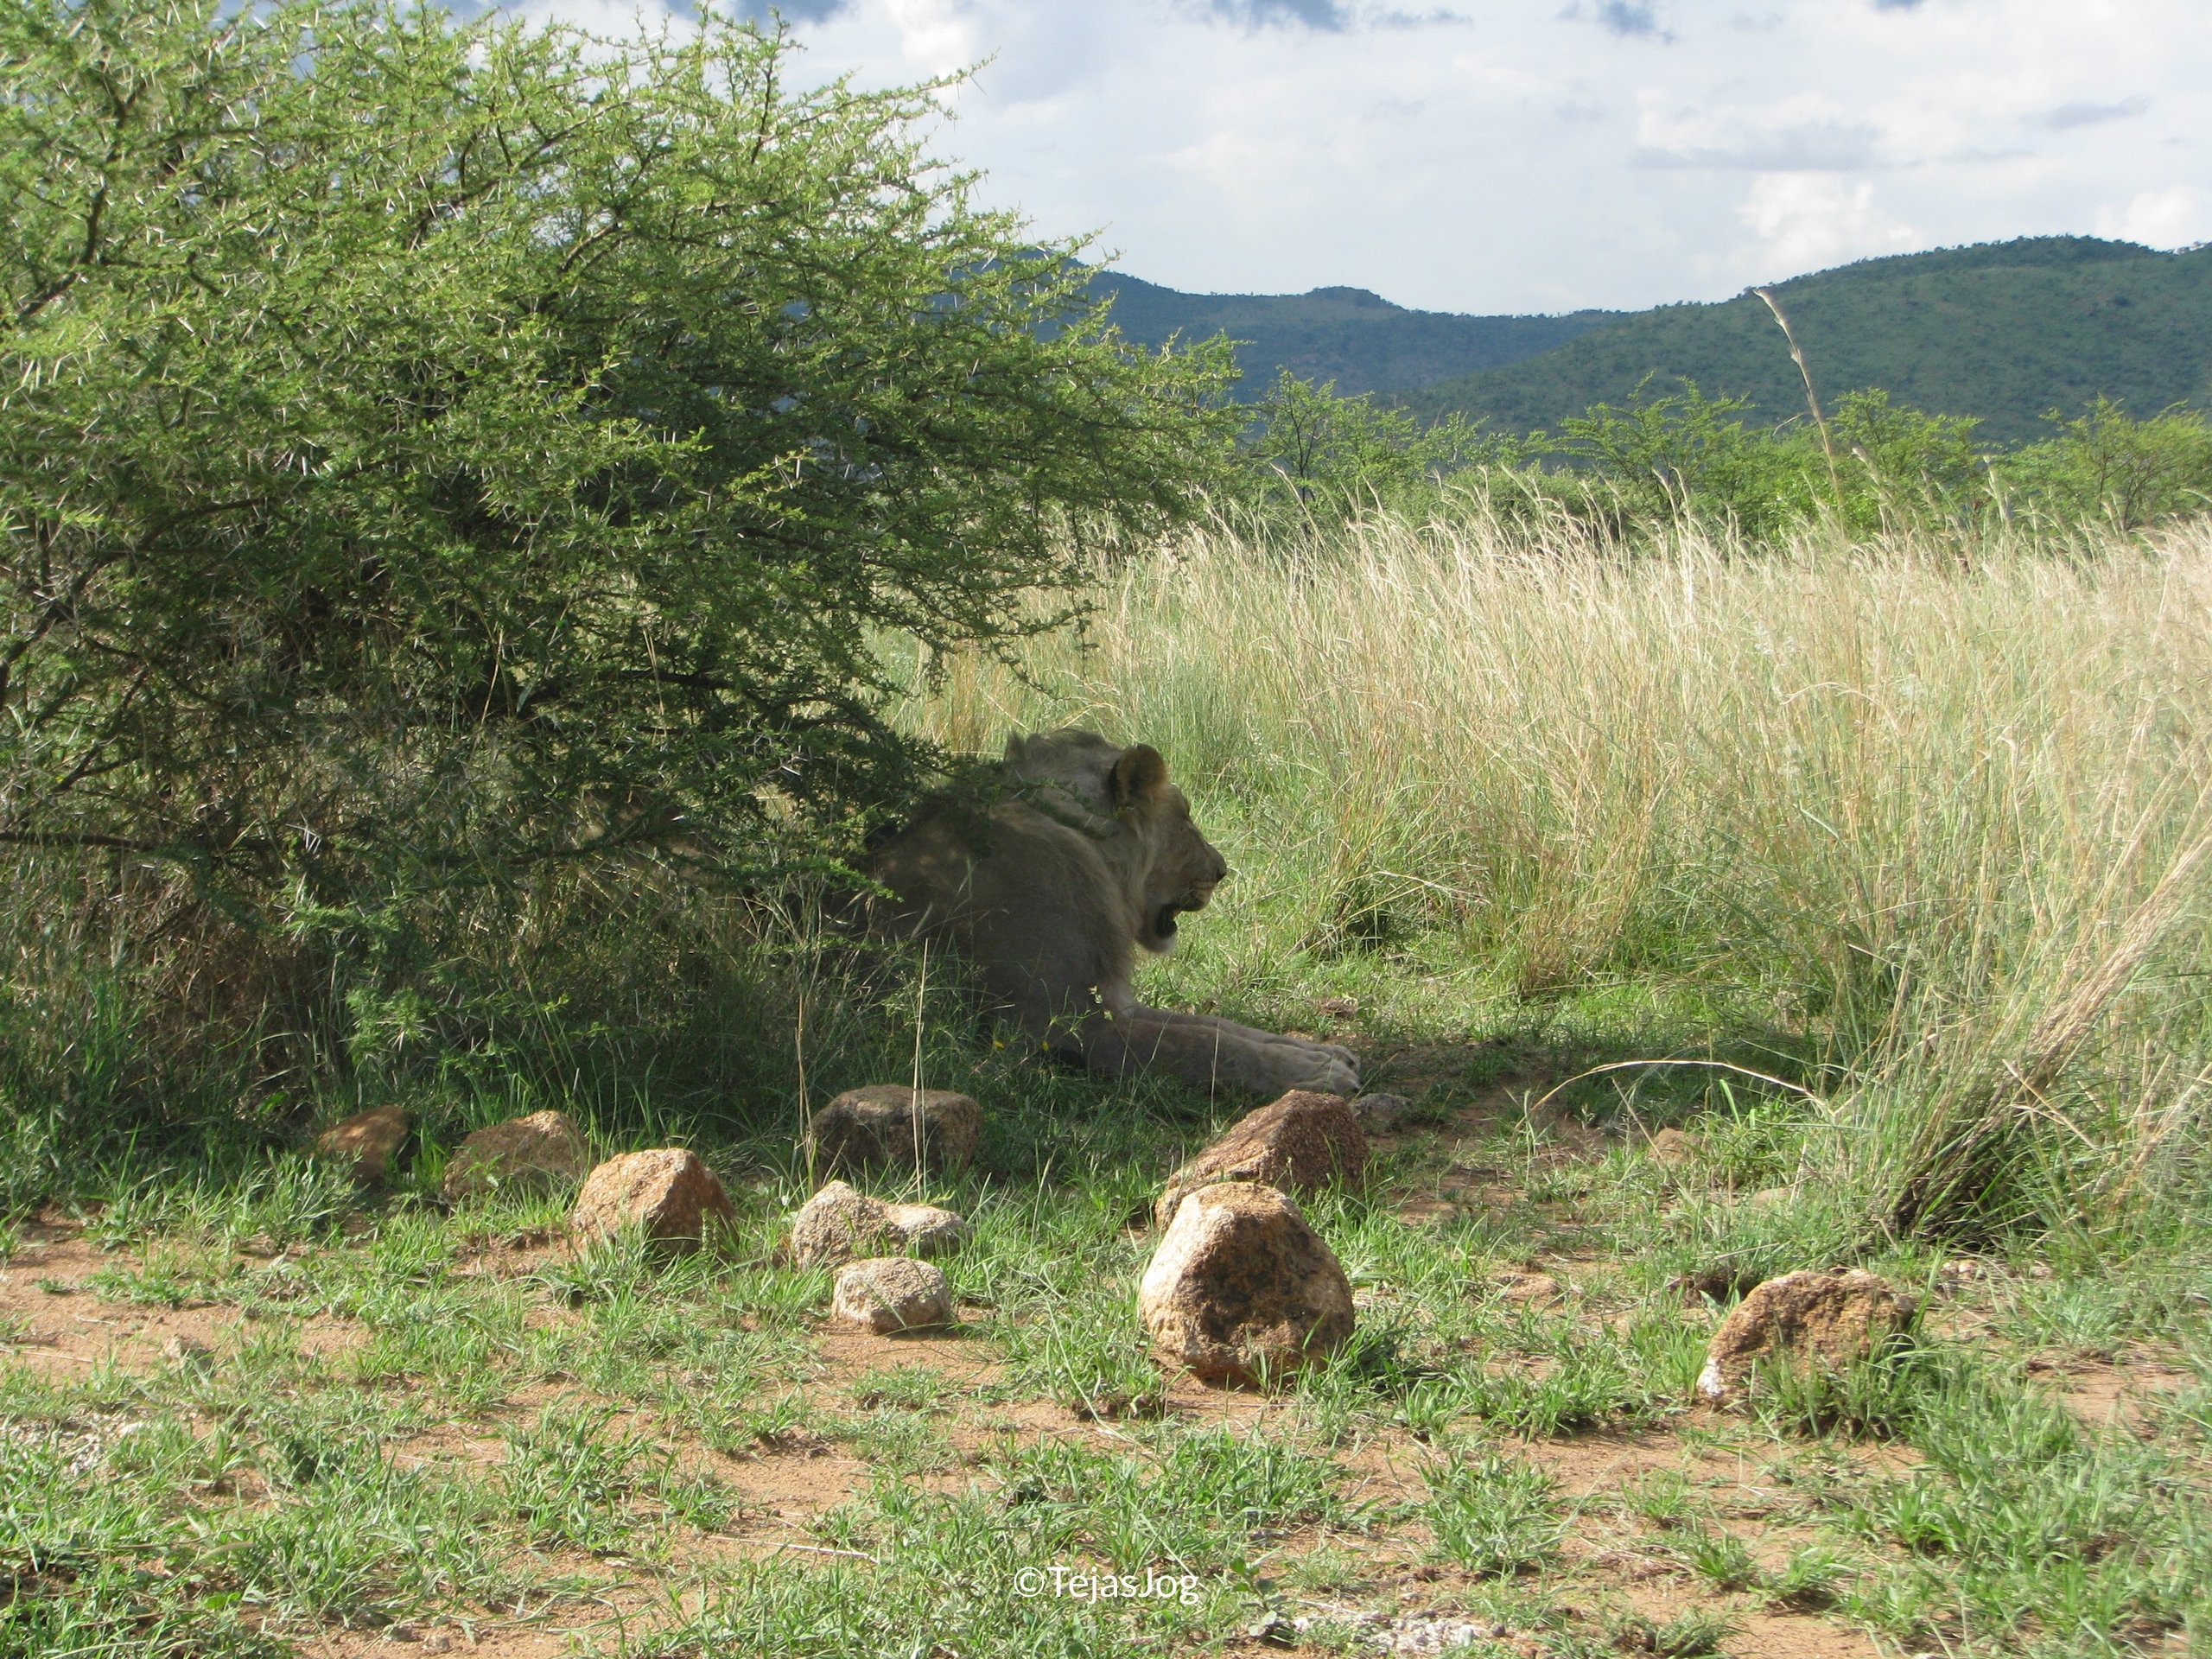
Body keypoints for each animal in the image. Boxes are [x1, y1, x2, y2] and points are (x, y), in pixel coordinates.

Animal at [870, 729, 1359, 1097]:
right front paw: (1319, 1073)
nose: (1221, 871)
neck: (1085, 845)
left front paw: (1323, 1053)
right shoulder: (1056, 1025)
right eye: (1185, 817)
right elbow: (1199, 1045)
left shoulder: (1113, 1001)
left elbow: (1214, 1024)